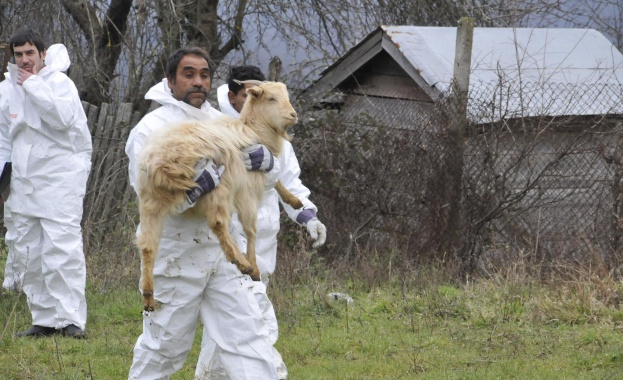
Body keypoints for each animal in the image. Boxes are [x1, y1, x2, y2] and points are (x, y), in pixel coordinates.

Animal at [136, 81, 304, 310]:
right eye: (271, 98)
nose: (293, 115)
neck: (252, 130)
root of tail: (161, 163)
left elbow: (276, 179)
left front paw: (294, 201)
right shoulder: (246, 190)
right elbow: (251, 230)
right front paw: (254, 267)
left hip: (150, 202)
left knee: (147, 247)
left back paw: (148, 294)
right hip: (217, 188)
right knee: (217, 223)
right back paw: (242, 263)